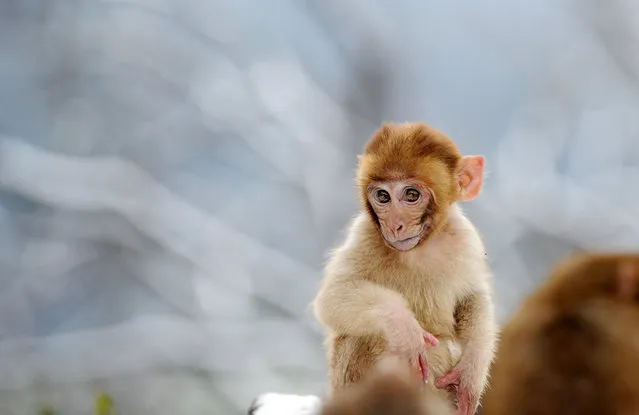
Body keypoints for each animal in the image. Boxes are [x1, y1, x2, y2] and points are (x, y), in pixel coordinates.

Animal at [312, 121, 498, 415]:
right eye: (382, 196)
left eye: (411, 195)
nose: (394, 225)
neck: (420, 248)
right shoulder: (364, 234)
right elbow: (332, 297)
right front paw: (403, 327)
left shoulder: (466, 238)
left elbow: (473, 296)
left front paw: (471, 371)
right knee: (362, 338)